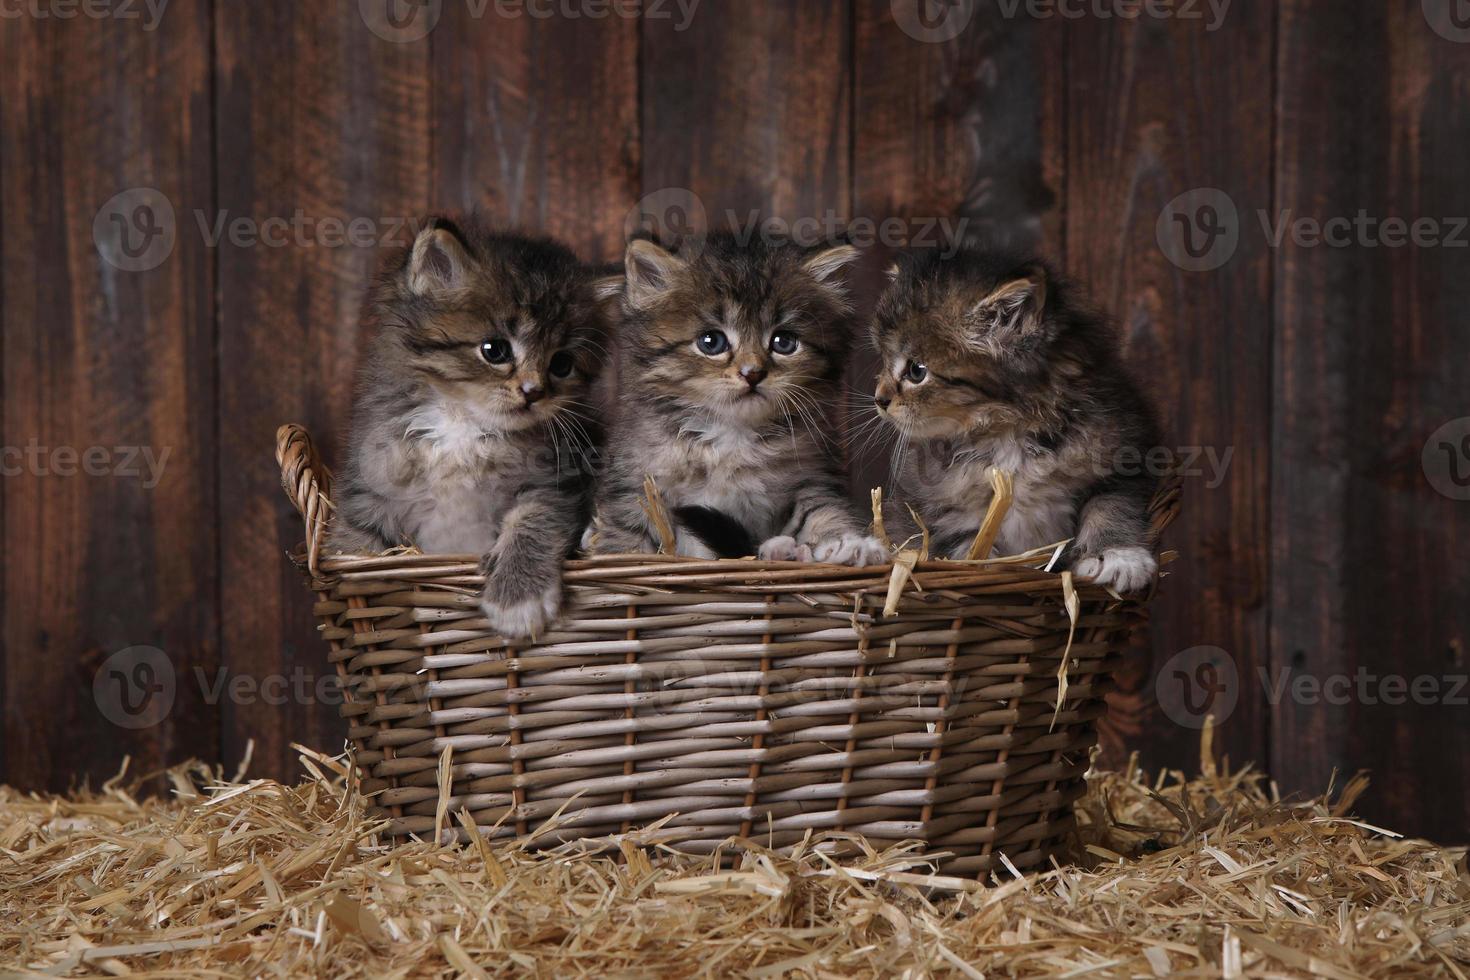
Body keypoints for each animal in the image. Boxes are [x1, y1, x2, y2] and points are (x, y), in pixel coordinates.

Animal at [330, 214, 611, 637]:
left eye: (562, 364)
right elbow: (354, 542)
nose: (533, 392)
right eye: (494, 350)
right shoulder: (368, 483)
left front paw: (517, 599)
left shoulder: (556, 482)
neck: (464, 424)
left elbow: (533, 522)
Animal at [585, 232, 882, 567]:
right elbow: (626, 538)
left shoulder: (812, 476)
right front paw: (621, 555)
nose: (752, 373)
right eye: (711, 342)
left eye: (784, 342)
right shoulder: (635, 484)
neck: (731, 435)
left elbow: (825, 513)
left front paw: (852, 545)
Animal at [870, 249, 1158, 593]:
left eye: (916, 371)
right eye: (884, 361)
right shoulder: (932, 501)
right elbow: (965, 544)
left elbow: (1111, 506)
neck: (1007, 430)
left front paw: (1117, 558)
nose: (879, 399)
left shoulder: (1123, 457)